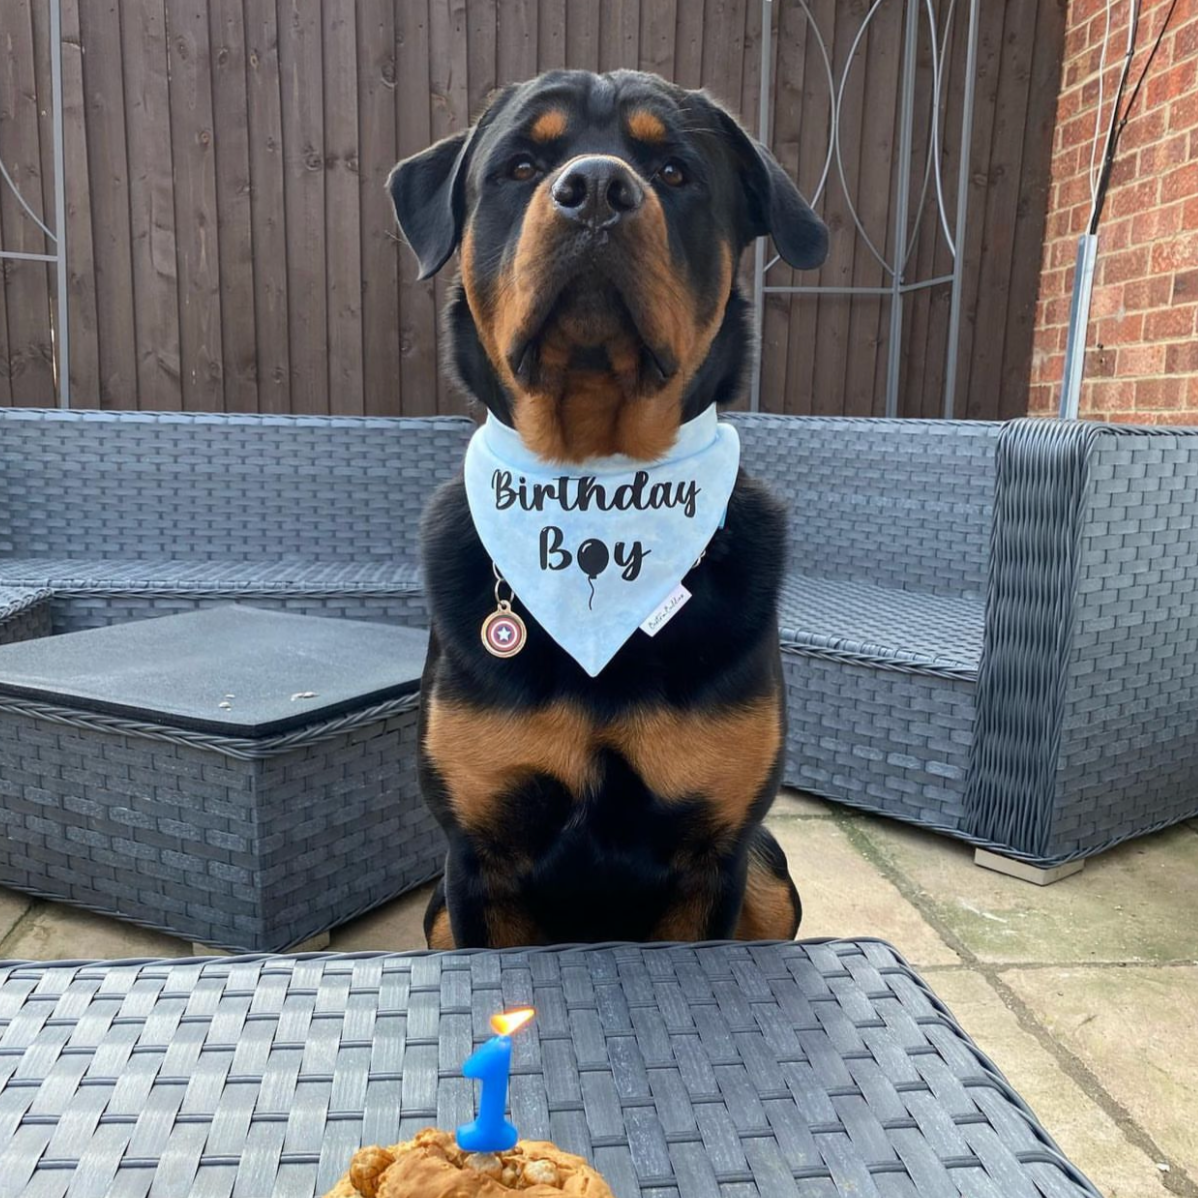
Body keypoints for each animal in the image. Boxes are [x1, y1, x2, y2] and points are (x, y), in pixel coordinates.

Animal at [388, 67, 829, 944]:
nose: (595, 186)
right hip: (438, 911)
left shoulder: (714, 854)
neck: (598, 481)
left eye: (675, 171)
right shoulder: (479, 861)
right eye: (521, 166)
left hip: (768, 870)